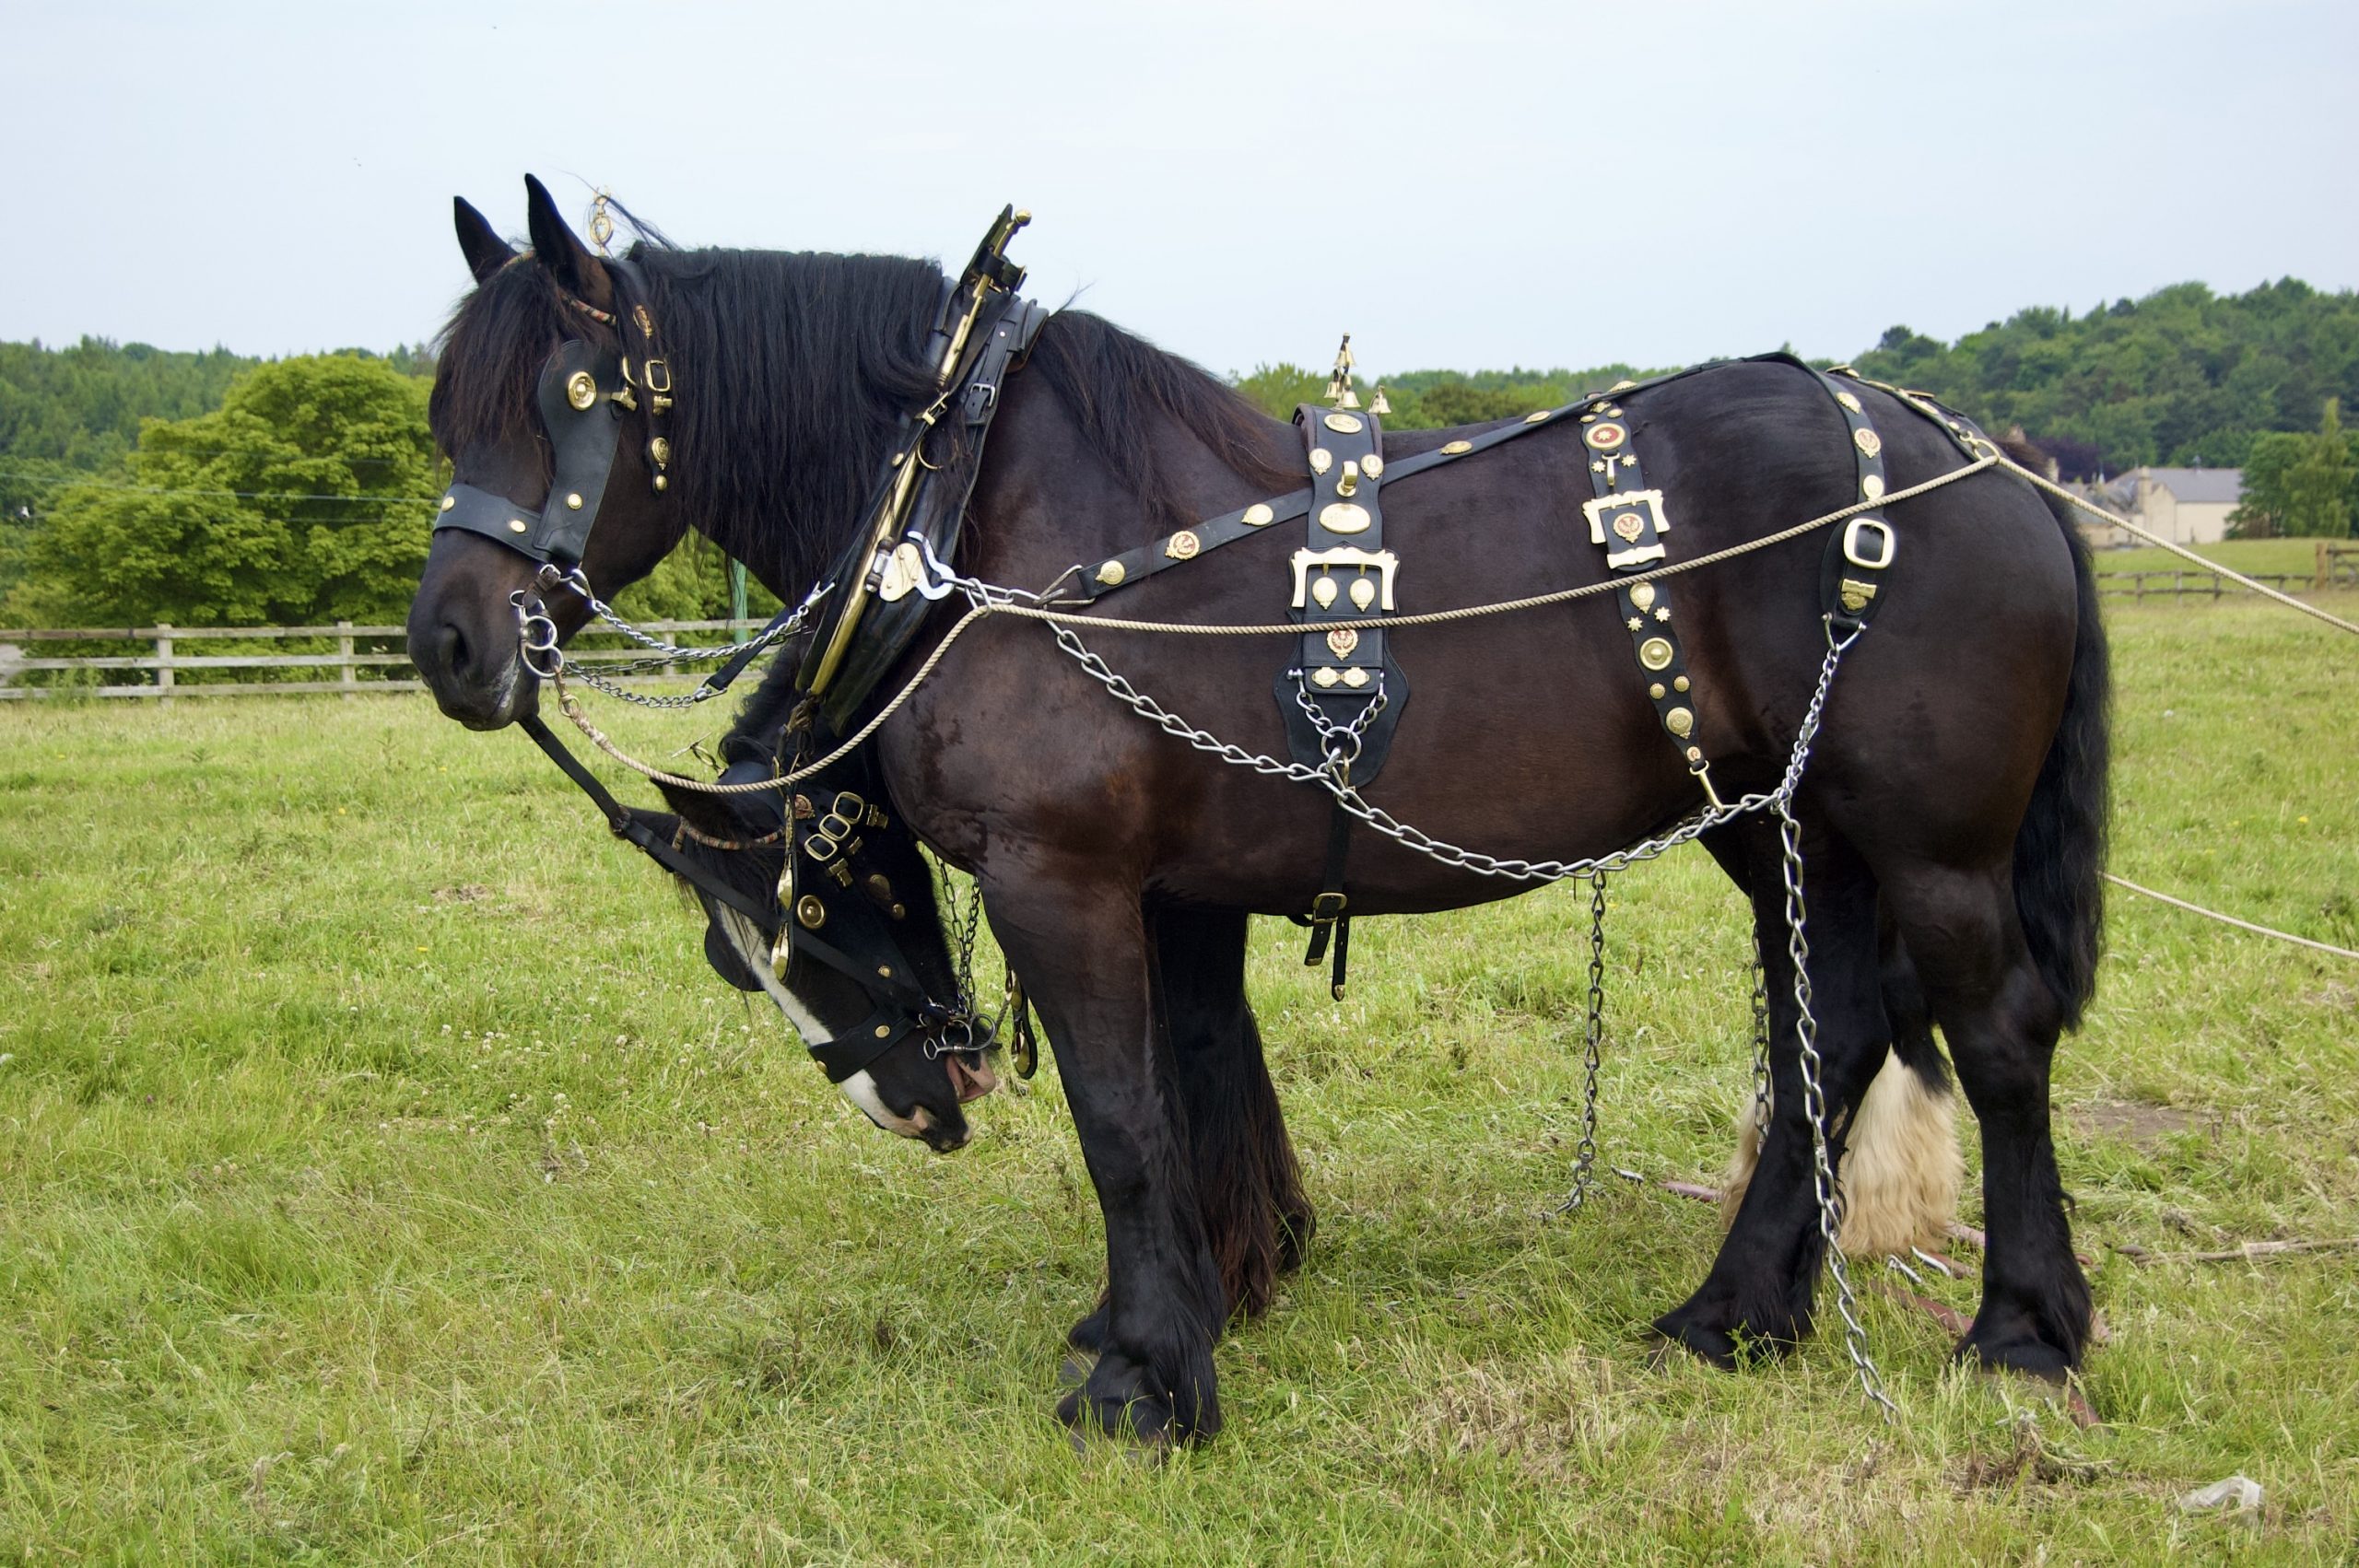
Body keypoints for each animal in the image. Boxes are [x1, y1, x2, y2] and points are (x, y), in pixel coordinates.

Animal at [407, 177, 2109, 1444]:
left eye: (572, 397)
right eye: (441, 412)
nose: (450, 641)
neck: (972, 504)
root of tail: (1983, 454)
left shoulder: (1063, 878)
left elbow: (1121, 1119)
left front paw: (1143, 1383)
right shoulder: (1177, 894)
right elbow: (1196, 1090)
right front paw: (1195, 1299)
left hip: (1930, 838)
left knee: (1996, 1033)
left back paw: (2025, 1327)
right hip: (1786, 826)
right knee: (1840, 1027)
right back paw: (1736, 1312)